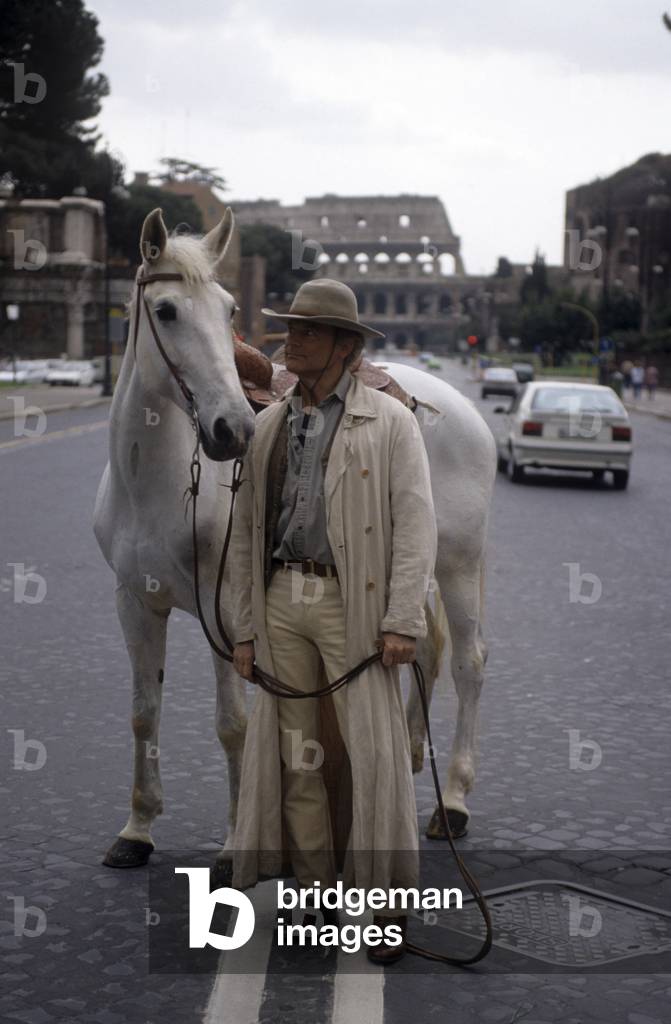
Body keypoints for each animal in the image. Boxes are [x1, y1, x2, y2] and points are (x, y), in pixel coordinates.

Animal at [94, 208, 496, 869]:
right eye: (168, 311)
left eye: (230, 309)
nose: (233, 428)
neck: (157, 482)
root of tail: (459, 404)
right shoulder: (133, 600)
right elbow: (141, 713)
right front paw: (137, 827)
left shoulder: (227, 607)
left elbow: (232, 722)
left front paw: (236, 843)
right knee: (422, 649)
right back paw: (414, 755)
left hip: (460, 562)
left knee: (468, 660)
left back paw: (456, 800)